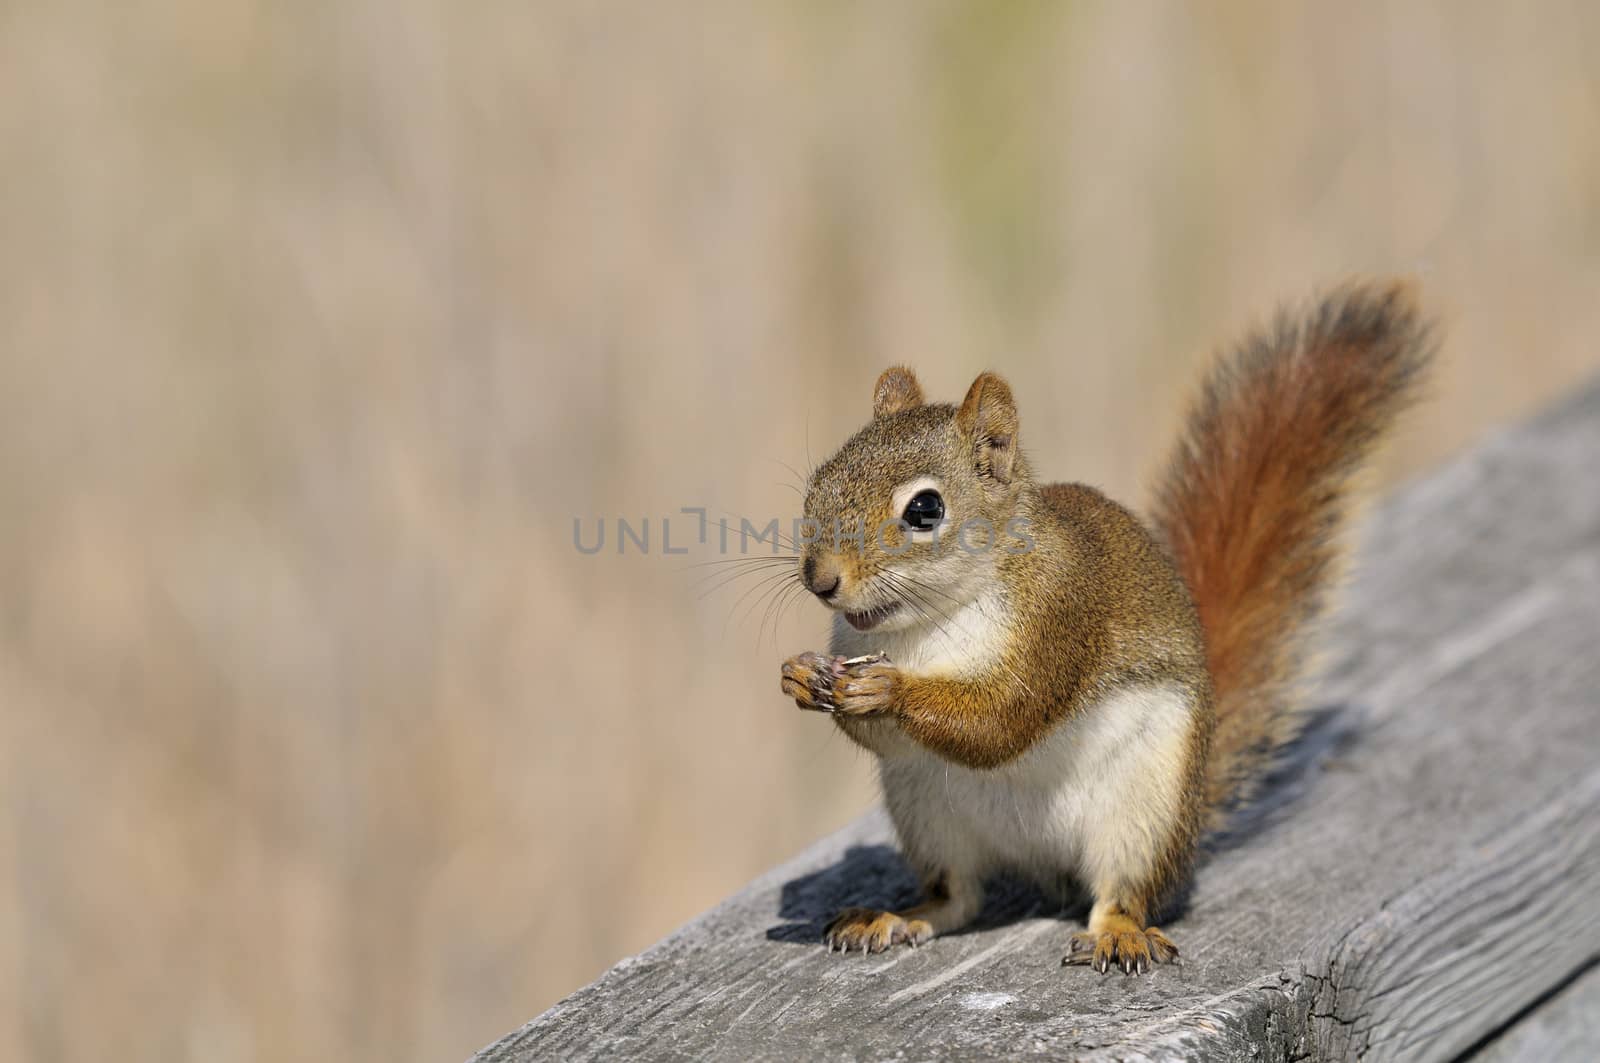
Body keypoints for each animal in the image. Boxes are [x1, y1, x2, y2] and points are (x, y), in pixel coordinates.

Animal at [777, 280, 1440, 973]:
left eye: (925, 509)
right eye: (820, 481)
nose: (820, 580)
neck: (927, 622)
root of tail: (1040, 862)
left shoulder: (1061, 618)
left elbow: (1002, 719)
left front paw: (890, 689)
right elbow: (887, 734)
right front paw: (800, 677)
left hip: (1144, 809)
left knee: (1121, 891)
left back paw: (1119, 933)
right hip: (929, 814)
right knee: (956, 898)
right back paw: (894, 916)